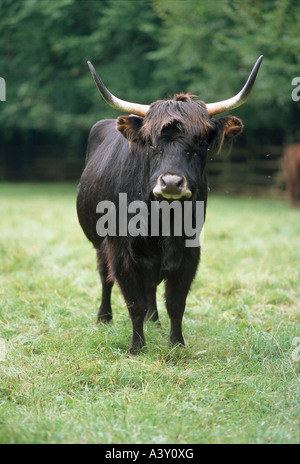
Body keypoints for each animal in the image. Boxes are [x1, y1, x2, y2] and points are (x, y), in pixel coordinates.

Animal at [77, 56, 262, 354]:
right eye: (151, 143)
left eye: (201, 142)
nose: (172, 182)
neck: (162, 218)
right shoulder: (120, 250)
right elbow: (133, 301)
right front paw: (136, 347)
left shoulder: (190, 250)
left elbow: (175, 302)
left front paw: (176, 344)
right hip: (98, 243)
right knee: (105, 277)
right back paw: (104, 317)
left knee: (150, 286)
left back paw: (155, 321)